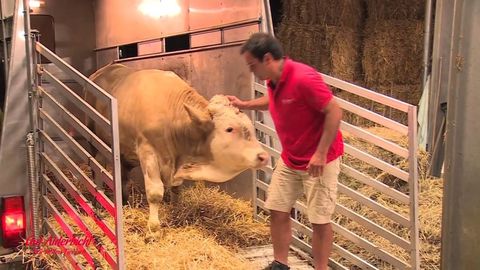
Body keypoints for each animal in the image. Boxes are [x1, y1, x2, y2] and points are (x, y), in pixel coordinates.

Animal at [86, 63, 266, 230]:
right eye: (229, 129)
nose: (263, 156)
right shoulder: (148, 152)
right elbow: (155, 192)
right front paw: (153, 228)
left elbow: (176, 190)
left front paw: (177, 212)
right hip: (93, 141)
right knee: (95, 168)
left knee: (123, 177)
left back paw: (123, 202)